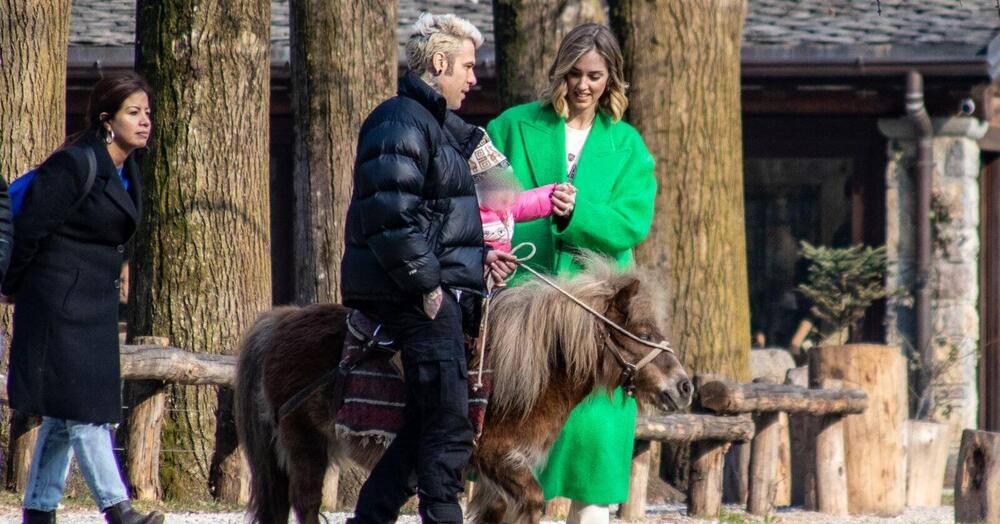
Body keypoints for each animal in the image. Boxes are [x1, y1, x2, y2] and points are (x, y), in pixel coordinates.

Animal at [234, 258, 692, 524]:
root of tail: (279, 321)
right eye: (644, 333)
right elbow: (533, 502)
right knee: (306, 504)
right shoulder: (498, 459)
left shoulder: (495, 481)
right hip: (305, 446)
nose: (684, 387)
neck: (533, 372)